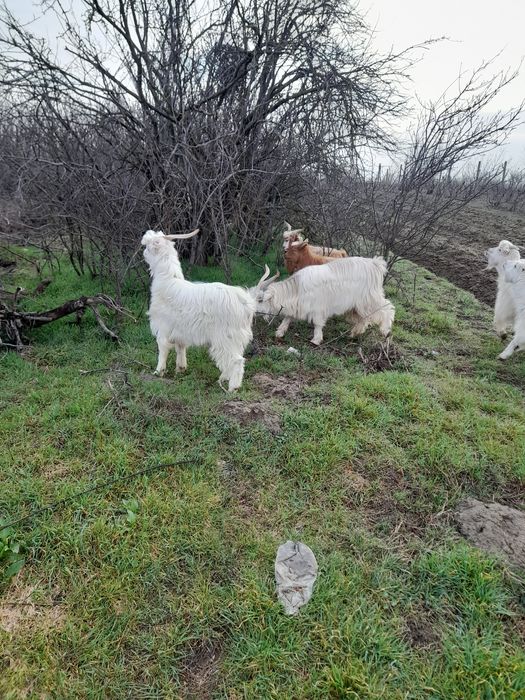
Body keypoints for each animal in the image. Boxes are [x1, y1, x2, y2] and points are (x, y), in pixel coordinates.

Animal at [141, 229, 256, 391]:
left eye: (148, 245)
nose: (144, 252)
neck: (168, 280)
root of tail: (246, 303)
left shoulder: (163, 327)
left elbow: (163, 349)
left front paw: (159, 372)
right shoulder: (180, 331)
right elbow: (180, 348)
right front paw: (180, 369)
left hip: (226, 337)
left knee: (237, 360)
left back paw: (232, 388)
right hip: (235, 339)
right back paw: (223, 379)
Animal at [251, 256, 394, 345]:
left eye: (260, 300)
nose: (252, 313)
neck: (297, 289)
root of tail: (375, 264)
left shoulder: (318, 308)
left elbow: (318, 324)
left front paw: (316, 340)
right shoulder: (298, 306)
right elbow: (288, 318)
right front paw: (279, 332)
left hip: (369, 300)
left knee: (387, 308)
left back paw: (385, 331)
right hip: (359, 306)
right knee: (363, 319)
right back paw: (354, 334)